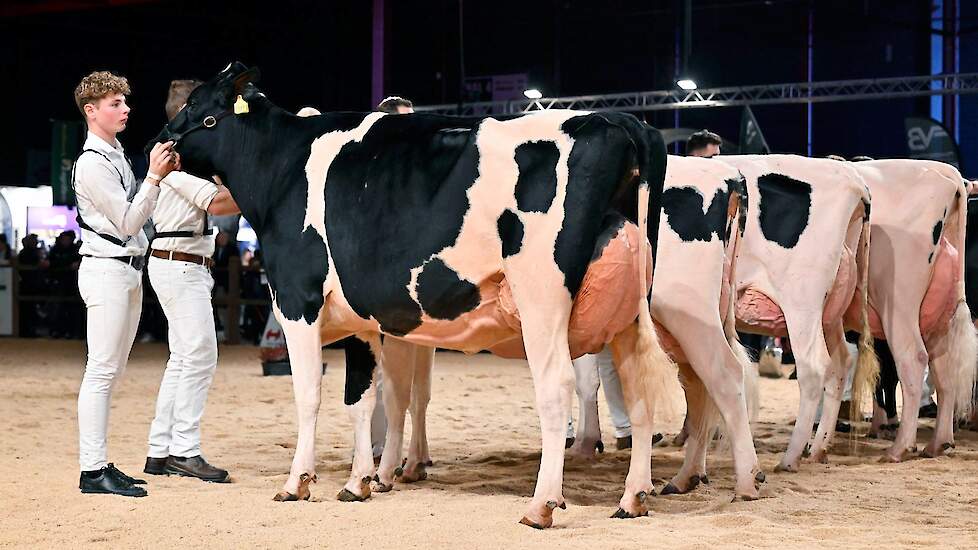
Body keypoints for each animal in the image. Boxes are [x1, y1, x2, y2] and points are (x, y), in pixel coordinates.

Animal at [152, 61, 672, 532]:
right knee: (640, 389)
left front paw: (298, 482)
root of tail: (620, 120)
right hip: (628, 311)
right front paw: (358, 482)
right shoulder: (359, 321)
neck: (280, 169)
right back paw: (633, 497)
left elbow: (309, 394)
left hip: (542, 297)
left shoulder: (298, 302)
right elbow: (361, 399)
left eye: (197, 106)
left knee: (558, 386)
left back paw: (540, 506)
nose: (158, 140)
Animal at [716, 155, 876, 474]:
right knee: (841, 361)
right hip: (830, 313)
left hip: (802, 305)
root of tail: (853, 180)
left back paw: (790, 457)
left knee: (814, 367)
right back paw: (817, 448)